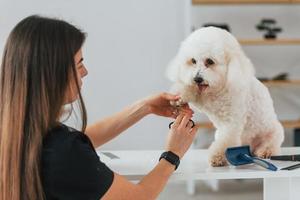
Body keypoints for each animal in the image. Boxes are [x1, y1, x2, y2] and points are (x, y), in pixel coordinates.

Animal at [166, 27, 284, 167]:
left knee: (271, 145)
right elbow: (191, 90)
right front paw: (179, 96)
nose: (197, 79)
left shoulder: (231, 123)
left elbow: (226, 141)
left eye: (210, 61)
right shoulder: (203, 101)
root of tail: (251, 146)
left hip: (273, 133)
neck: (219, 88)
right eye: (193, 61)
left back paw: (265, 151)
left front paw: (218, 157)